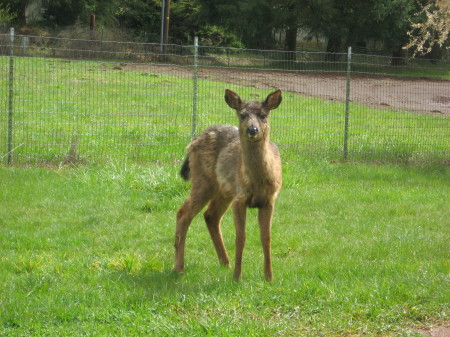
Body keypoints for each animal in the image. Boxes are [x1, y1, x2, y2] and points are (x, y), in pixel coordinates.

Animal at [172, 89, 282, 280]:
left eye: (263, 115)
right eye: (242, 114)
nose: (252, 130)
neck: (258, 182)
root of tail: (194, 140)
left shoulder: (269, 200)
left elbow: (266, 238)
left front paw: (269, 277)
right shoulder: (240, 197)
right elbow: (240, 237)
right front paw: (237, 277)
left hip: (223, 190)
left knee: (210, 215)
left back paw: (225, 263)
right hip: (203, 181)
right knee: (184, 213)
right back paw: (179, 267)